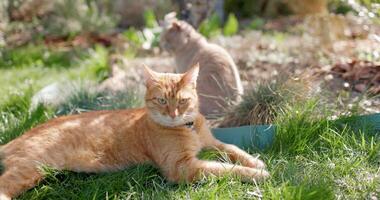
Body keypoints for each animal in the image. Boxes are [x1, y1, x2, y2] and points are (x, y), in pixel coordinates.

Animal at [0, 63, 268, 199]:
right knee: (4, 185)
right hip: (32, 168)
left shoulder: (212, 143)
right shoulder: (181, 167)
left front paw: (256, 162)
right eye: (162, 100)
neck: (188, 128)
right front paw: (258, 174)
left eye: (182, 101)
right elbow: (224, 168)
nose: (173, 114)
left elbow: (233, 149)